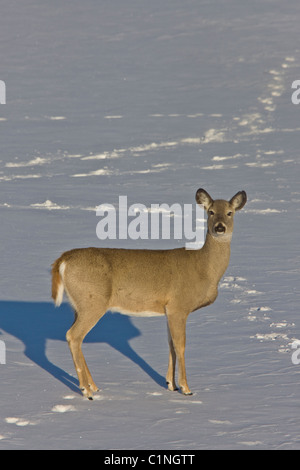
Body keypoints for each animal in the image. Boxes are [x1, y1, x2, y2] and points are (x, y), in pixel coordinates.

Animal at [52, 189, 246, 398]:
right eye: (210, 212)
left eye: (229, 212)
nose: (220, 227)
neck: (203, 269)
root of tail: (63, 259)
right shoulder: (179, 306)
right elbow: (180, 345)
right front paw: (186, 389)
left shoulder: (169, 309)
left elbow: (170, 345)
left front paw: (171, 384)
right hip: (92, 302)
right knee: (73, 336)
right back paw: (86, 391)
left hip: (78, 305)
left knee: (76, 338)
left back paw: (94, 386)